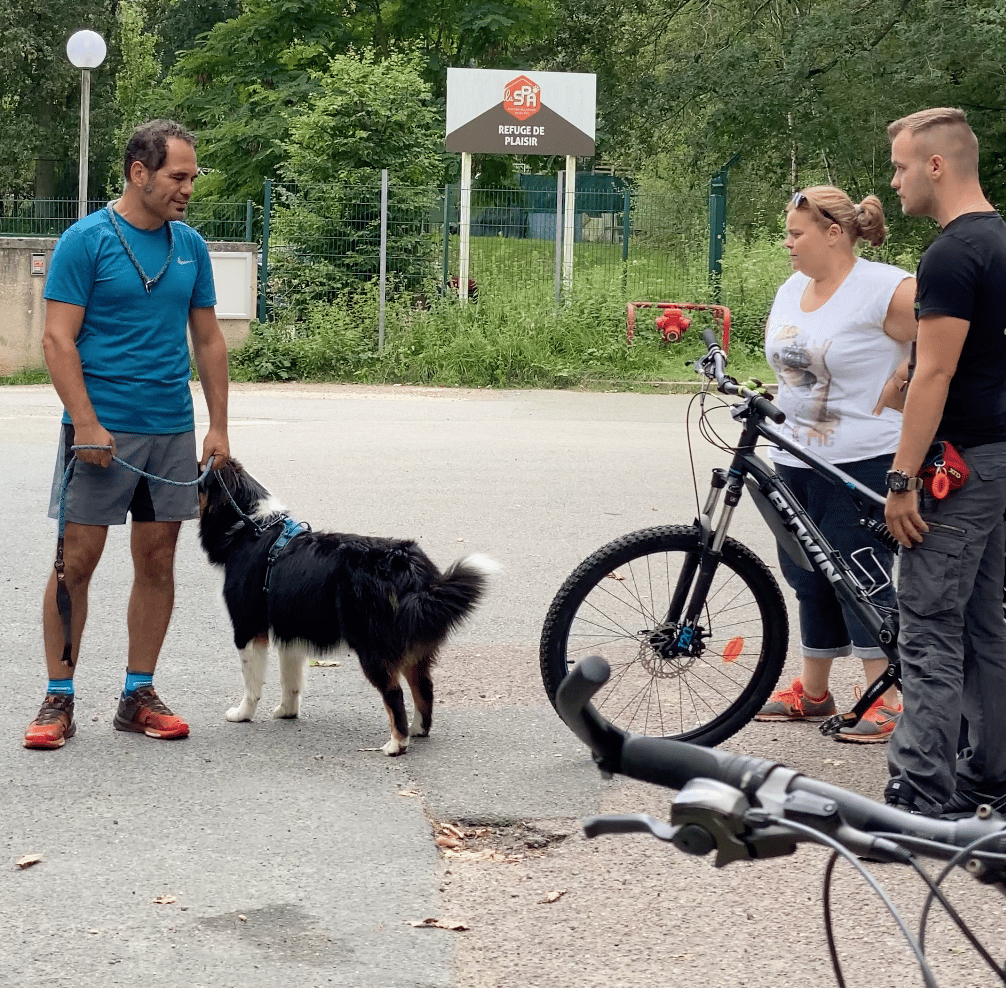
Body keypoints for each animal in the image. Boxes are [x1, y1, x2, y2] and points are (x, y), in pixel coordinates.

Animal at [198, 460, 496, 752]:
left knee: (395, 694)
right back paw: (417, 730)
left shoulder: (247, 627)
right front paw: (287, 712)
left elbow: (252, 683)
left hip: (372, 646)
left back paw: (396, 744)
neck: (249, 527)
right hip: (413, 646)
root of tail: (408, 565)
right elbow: (290, 680)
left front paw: (242, 714)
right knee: (424, 687)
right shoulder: (290, 626)